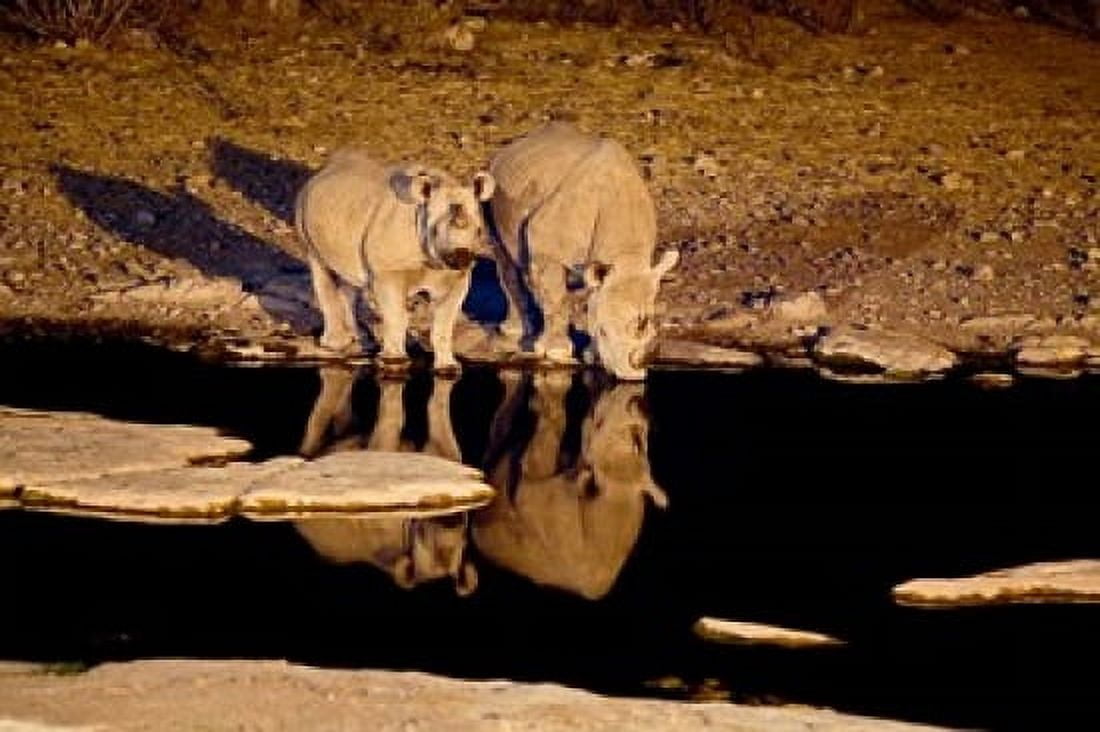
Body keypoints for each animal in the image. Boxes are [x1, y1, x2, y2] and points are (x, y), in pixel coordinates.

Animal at [295, 147, 495, 369]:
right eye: (434, 232)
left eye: (479, 231)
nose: (461, 258)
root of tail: (321, 172)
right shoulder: (389, 271)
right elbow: (396, 315)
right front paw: (394, 361)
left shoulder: (457, 277)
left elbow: (444, 323)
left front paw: (448, 367)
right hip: (303, 206)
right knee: (319, 265)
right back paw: (334, 345)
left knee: (349, 280)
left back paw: (360, 342)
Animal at [487, 123, 679, 380]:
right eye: (605, 331)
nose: (633, 376)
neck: (625, 255)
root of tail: (511, 146)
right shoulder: (547, 247)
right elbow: (557, 300)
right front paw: (557, 352)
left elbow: (592, 299)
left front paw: (592, 356)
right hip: (491, 178)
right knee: (504, 257)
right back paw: (514, 332)